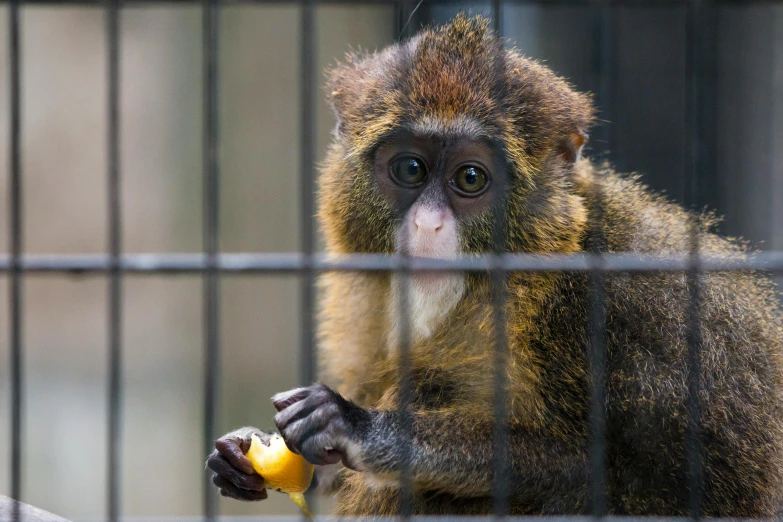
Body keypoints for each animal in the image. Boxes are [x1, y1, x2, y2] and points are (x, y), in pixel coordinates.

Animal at [207, 13, 783, 516]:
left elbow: (591, 471)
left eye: (469, 179)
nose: (428, 225)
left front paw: (359, 424)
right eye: (410, 169)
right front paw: (247, 450)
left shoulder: (620, 310)